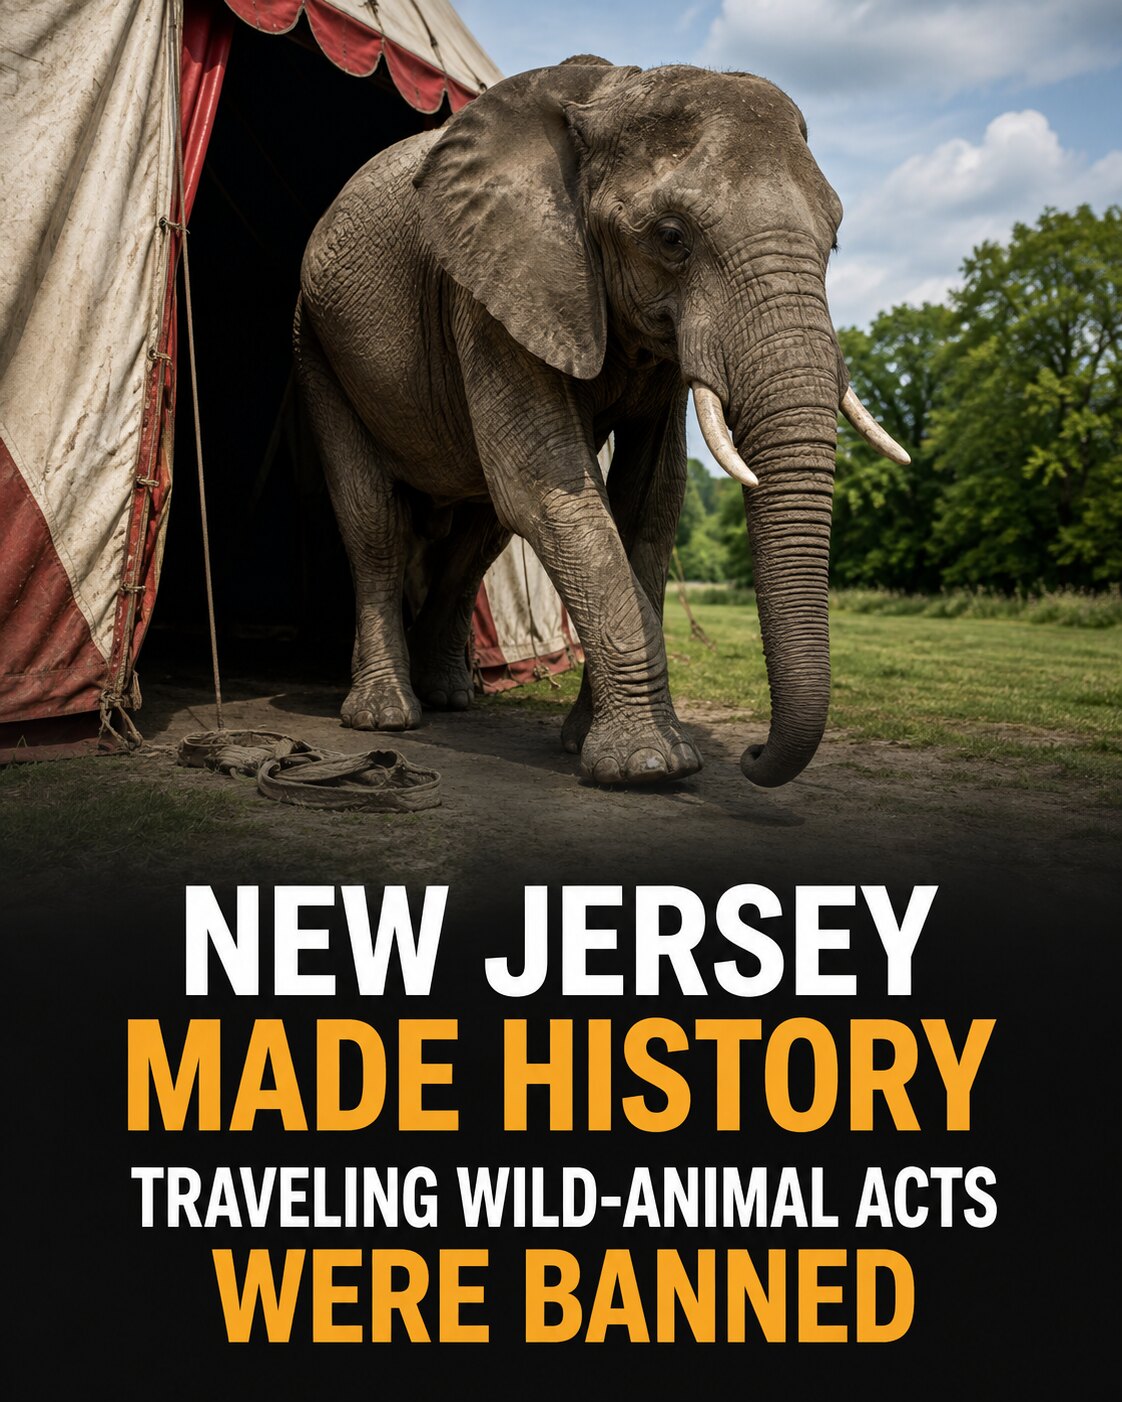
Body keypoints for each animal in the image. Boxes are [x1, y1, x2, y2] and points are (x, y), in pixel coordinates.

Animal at [294, 57, 907, 788]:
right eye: (670, 238)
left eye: (834, 238)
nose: (754, 756)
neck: (610, 95)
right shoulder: (493, 289)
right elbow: (548, 487)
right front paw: (649, 765)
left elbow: (651, 500)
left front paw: (590, 744)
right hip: (316, 343)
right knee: (375, 520)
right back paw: (385, 716)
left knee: (482, 532)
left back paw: (450, 698)